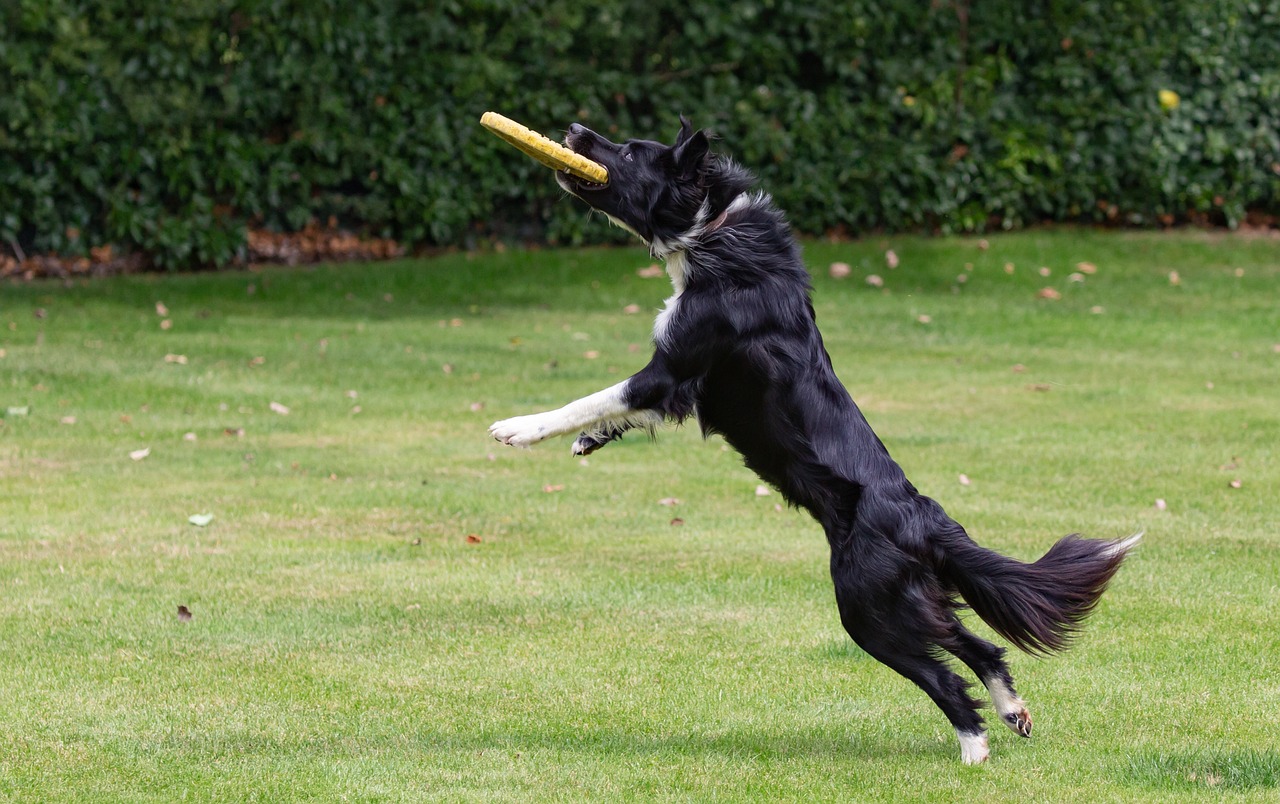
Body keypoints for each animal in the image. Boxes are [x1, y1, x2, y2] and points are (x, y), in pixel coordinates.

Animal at [488, 116, 1141, 763]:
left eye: (627, 152)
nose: (574, 126)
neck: (712, 227)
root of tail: (924, 519)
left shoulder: (671, 367)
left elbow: (594, 396)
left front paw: (520, 428)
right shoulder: (678, 385)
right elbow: (616, 410)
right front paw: (589, 441)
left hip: (866, 605)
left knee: (944, 675)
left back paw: (973, 746)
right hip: (911, 597)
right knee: (980, 646)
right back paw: (1012, 712)